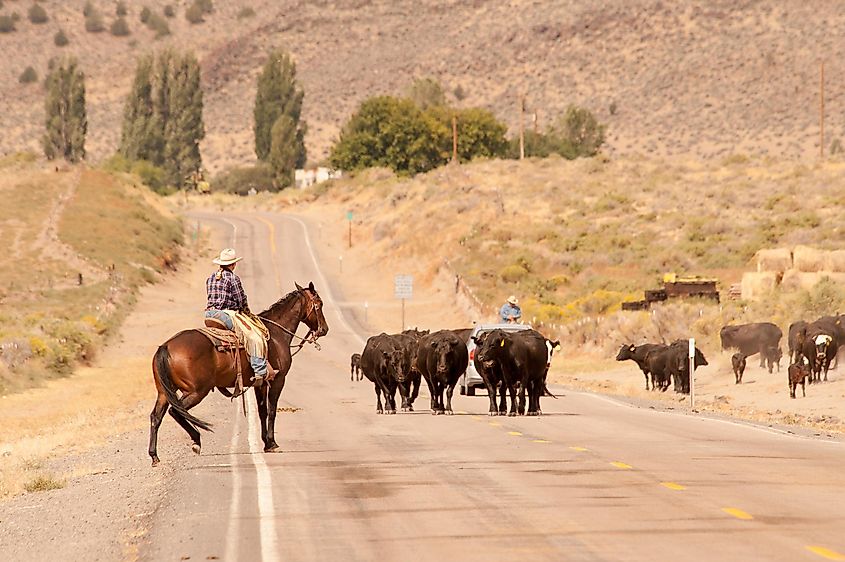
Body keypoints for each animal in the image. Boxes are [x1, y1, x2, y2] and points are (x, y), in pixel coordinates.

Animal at [148, 280, 326, 464]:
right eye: (319, 304)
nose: (324, 329)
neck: (276, 335)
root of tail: (165, 346)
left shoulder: (259, 384)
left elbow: (262, 411)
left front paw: (266, 442)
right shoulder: (278, 380)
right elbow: (271, 410)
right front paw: (272, 443)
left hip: (164, 392)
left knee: (156, 417)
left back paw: (155, 456)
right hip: (196, 391)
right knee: (176, 411)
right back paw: (196, 440)